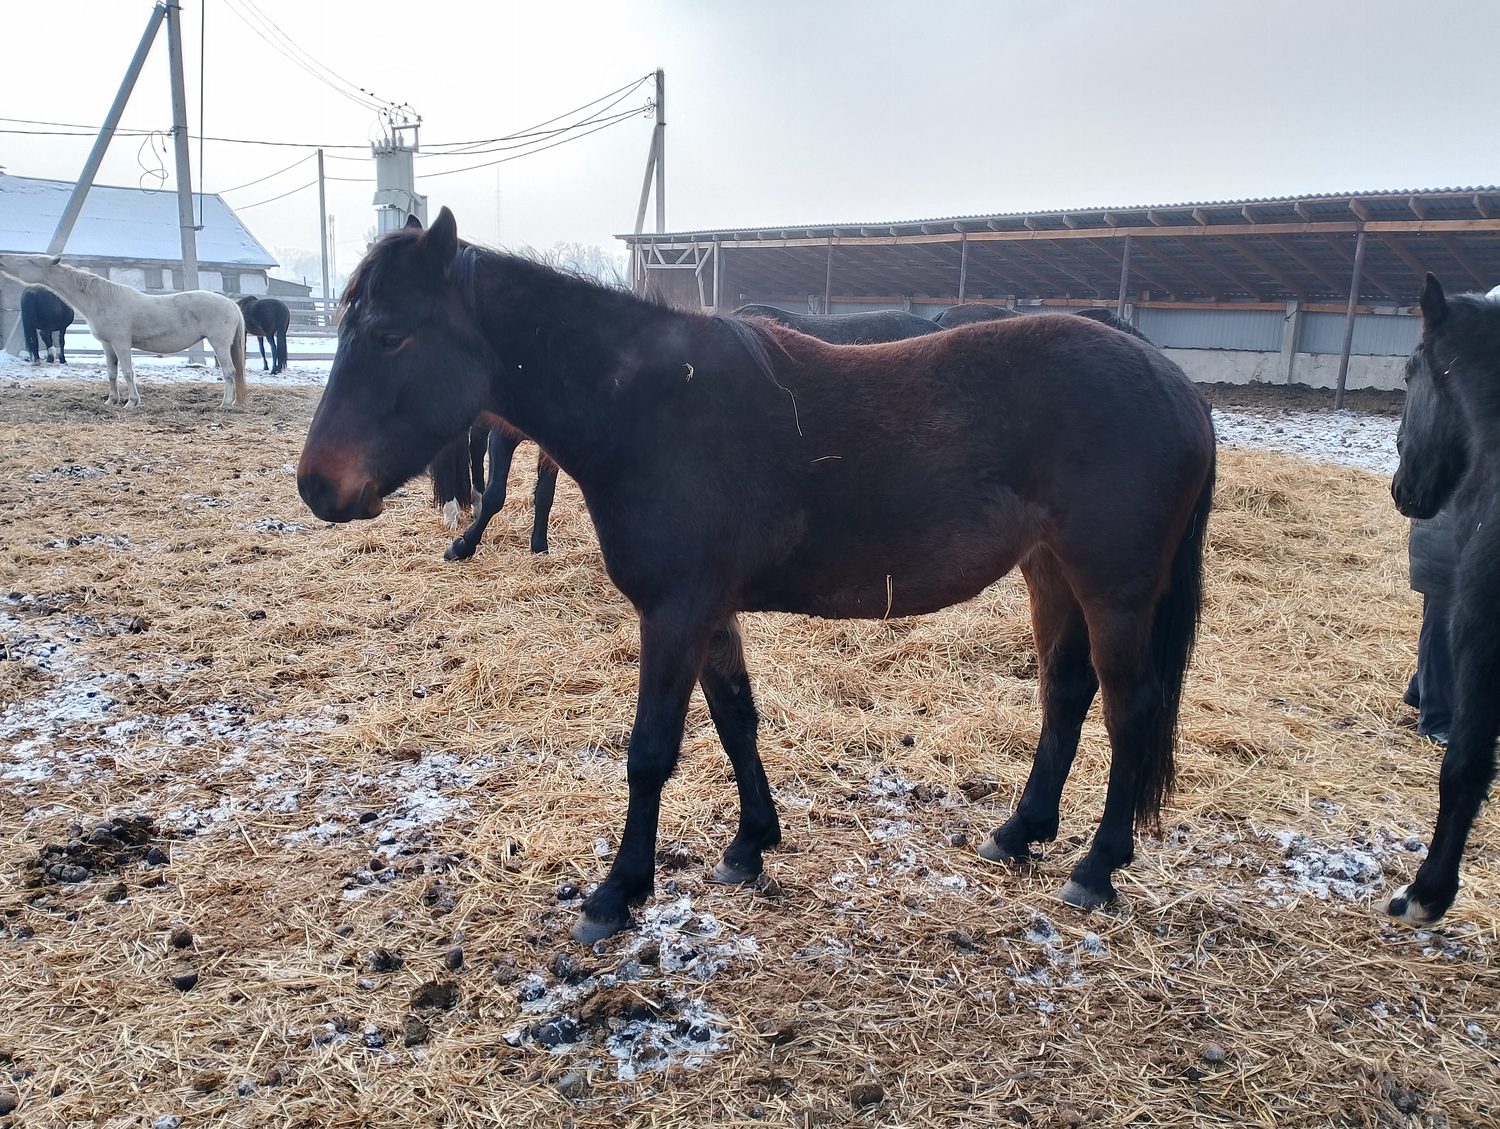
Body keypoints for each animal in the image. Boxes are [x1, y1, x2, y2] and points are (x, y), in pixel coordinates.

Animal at [0, 254, 246, 408]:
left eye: (29, 260)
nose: (2, 259)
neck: (103, 299)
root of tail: (232, 304)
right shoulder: (108, 345)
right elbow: (112, 373)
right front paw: (112, 401)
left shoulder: (121, 343)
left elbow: (128, 372)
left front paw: (132, 402)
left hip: (219, 344)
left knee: (229, 372)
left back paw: (225, 403)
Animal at [426, 424, 560, 558]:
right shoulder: (502, 435)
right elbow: (494, 497)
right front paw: (462, 547)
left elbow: (545, 495)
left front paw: (539, 547)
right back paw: (451, 513)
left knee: (477, 444)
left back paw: (477, 505)